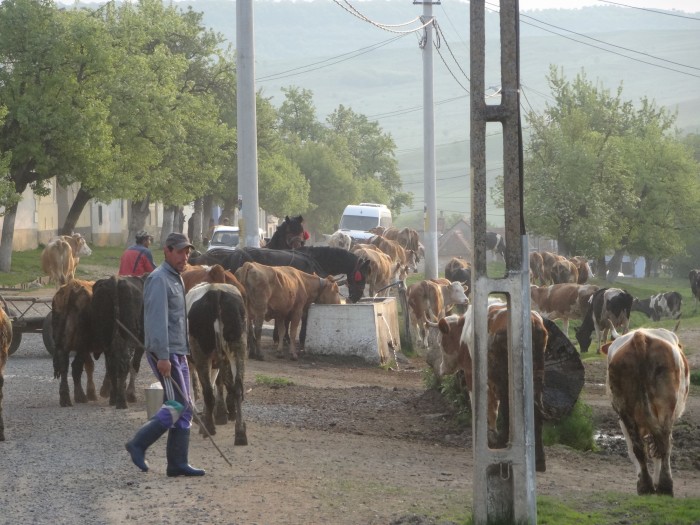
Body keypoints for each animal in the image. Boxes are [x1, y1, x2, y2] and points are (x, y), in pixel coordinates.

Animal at [50, 278, 104, 406]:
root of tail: (72, 287)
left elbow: (90, 366)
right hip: (82, 344)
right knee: (76, 367)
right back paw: (80, 396)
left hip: (65, 344)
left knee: (64, 366)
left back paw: (65, 397)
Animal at [90, 274, 146, 410]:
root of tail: (114, 281)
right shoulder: (141, 342)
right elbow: (134, 365)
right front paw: (131, 393)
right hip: (129, 336)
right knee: (124, 363)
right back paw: (121, 401)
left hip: (105, 337)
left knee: (111, 364)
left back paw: (113, 397)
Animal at [186, 280, 249, 444]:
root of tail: (215, 291)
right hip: (238, 346)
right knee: (237, 387)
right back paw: (240, 433)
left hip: (201, 352)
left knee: (208, 392)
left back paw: (208, 427)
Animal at [434, 302, 548, 470]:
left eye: (440, 341)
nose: (441, 368)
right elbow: (493, 408)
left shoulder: (472, 374)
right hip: (536, 373)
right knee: (535, 408)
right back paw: (538, 460)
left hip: (504, 376)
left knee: (508, 405)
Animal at [604, 328, 692, 496]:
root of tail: (640, 336)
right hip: (666, 406)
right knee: (664, 444)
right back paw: (664, 486)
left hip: (625, 409)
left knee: (638, 447)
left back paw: (645, 486)